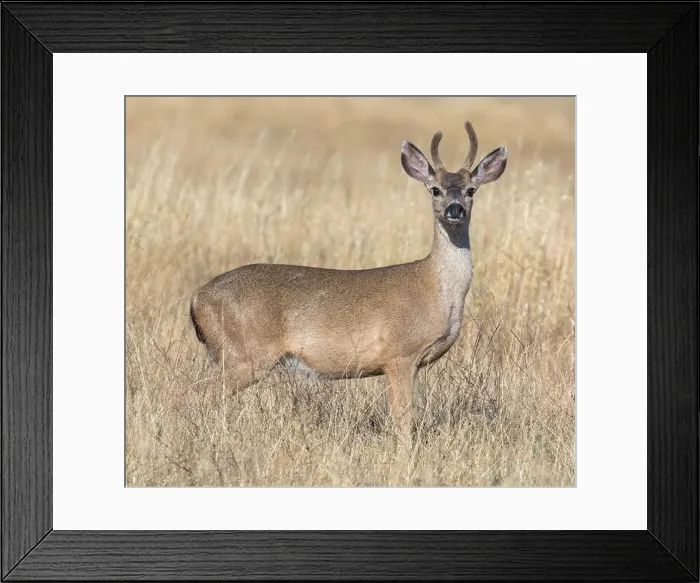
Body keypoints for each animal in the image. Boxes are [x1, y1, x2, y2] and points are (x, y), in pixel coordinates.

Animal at [189, 121, 508, 444]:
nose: (454, 209)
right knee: (199, 393)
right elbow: (403, 420)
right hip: (244, 353)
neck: (436, 289)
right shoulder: (398, 354)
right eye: (435, 189)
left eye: (470, 190)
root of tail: (197, 299)